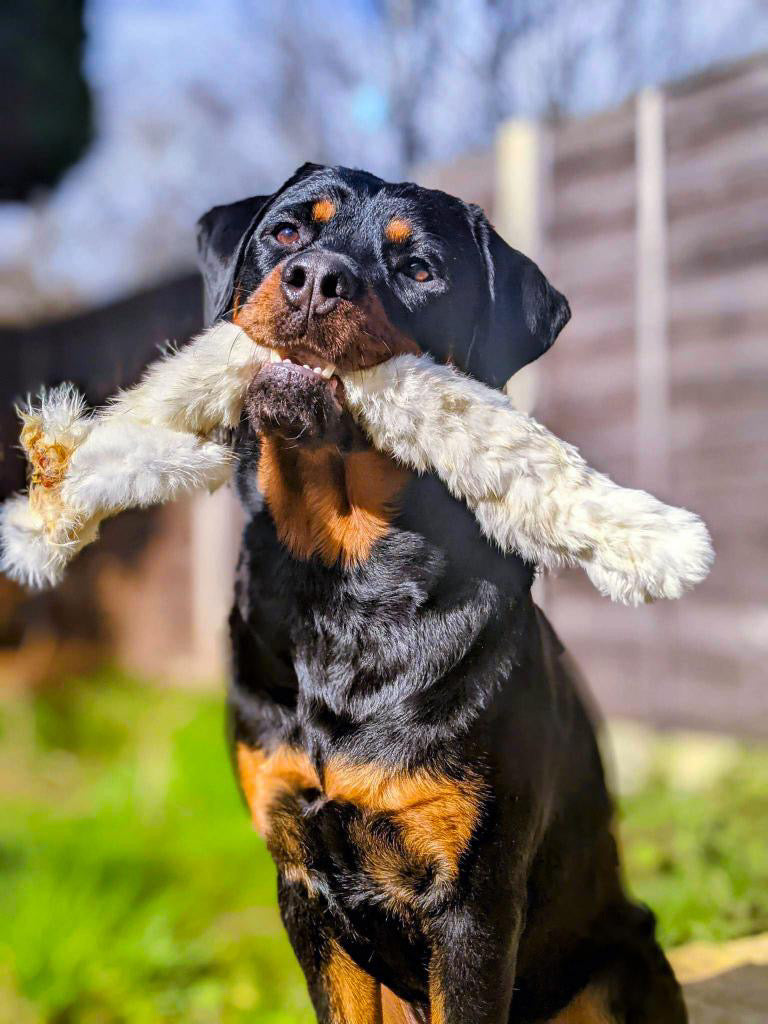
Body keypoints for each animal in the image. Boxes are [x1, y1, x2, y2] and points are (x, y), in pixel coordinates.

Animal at [195, 163, 688, 1024]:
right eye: (286, 231)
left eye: (419, 270)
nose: (316, 279)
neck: (346, 584)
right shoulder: (301, 878)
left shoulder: (472, 898)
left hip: (620, 959)